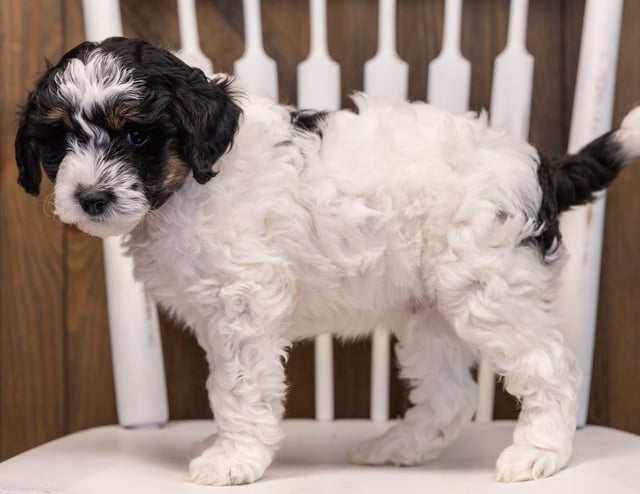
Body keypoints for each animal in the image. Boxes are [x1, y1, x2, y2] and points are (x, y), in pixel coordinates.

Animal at [15, 36, 640, 484]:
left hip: (489, 286)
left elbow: (236, 387)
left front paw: (234, 458)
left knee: (551, 367)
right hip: (429, 311)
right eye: (58, 140)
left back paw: (540, 453)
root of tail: (542, 168)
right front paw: (222, 442)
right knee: (452, 395)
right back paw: (400, 447)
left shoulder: (243, 304)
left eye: (138, 136)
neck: (190, 183)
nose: (90, 198)